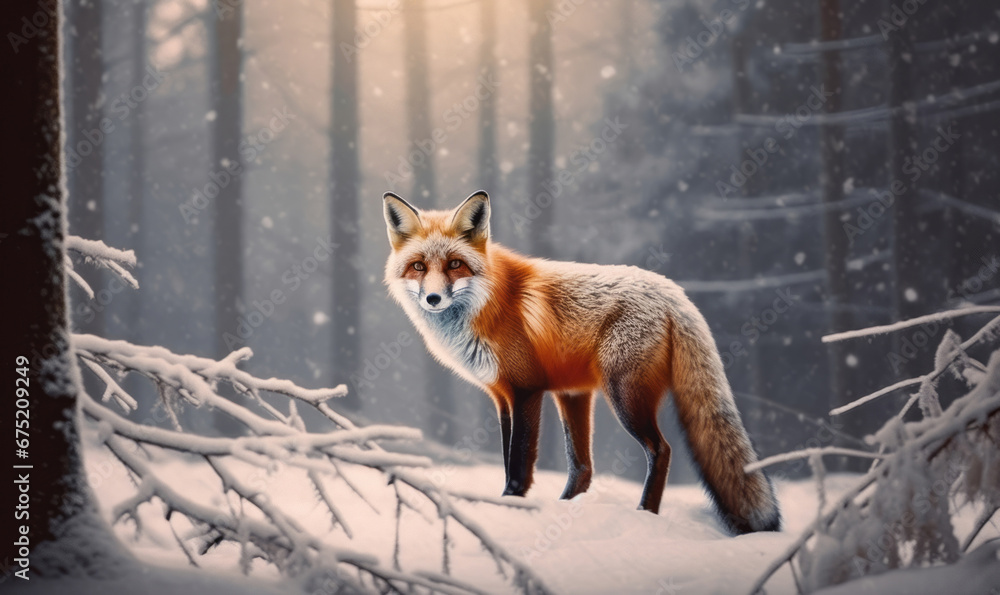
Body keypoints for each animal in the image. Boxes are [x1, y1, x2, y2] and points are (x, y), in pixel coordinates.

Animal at [381, 189, 781, 534]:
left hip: (624, 396)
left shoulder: (526, 390)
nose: (433, 299)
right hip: (574, 396)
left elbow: (518, 463)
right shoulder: (502, 396)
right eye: (418, 266)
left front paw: (512, 506)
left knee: (660, 450)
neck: (486, 304)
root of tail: (673, 290)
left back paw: (645, 513)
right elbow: (508, 457)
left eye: (455, 264)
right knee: (584, 468)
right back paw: (569, 508)